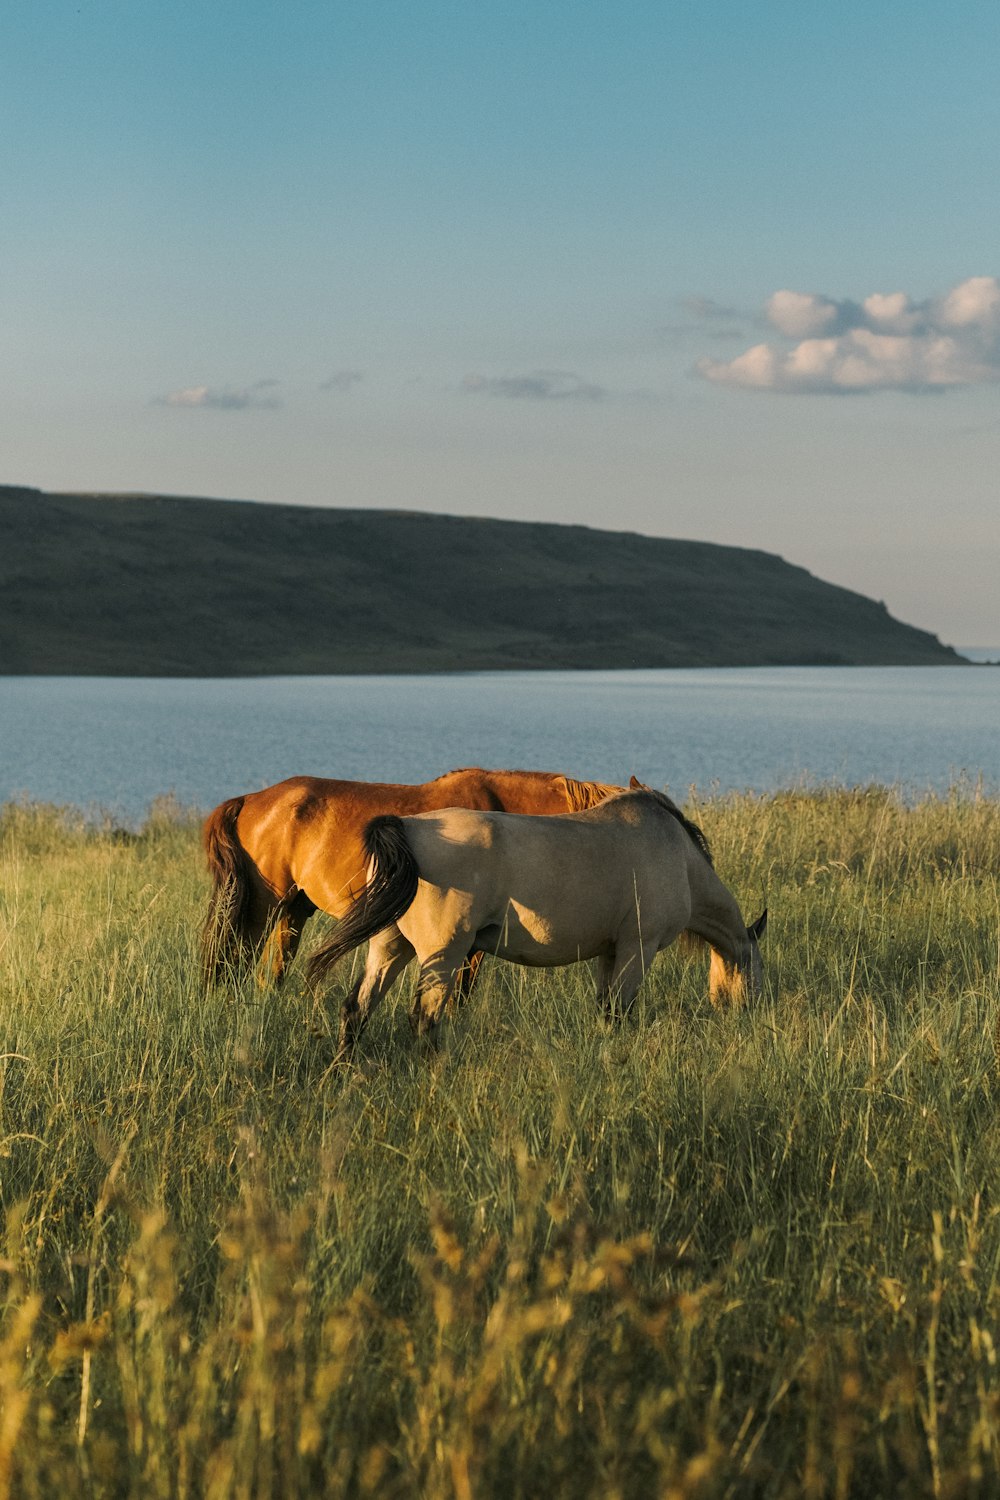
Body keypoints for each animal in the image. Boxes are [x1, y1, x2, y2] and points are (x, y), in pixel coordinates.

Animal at [308, 780, 773, 1062]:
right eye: (757, 970)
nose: (748, 1015)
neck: (677, 856)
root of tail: (406, 828)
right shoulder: (637, 950)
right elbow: (620, 1012)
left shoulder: (610, 954)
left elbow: (606, 1011)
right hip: (443, 956)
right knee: (423, 1018)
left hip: (391, 947)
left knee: (357, 1009)